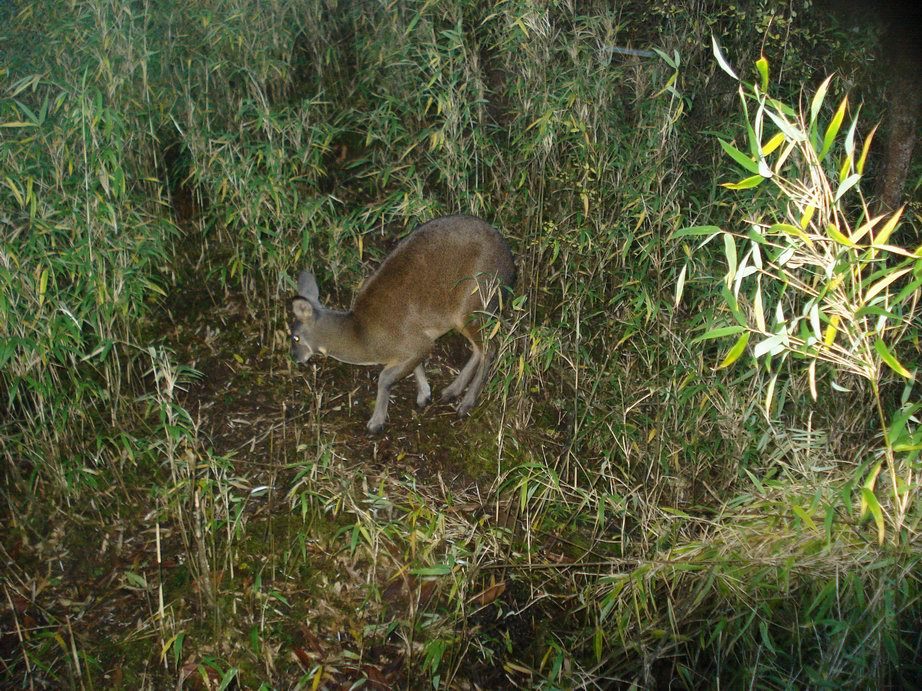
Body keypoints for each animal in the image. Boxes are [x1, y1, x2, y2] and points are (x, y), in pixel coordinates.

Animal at [292, 215, 512, 432]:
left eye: (294, 338)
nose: (295, 358)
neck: (362, 336)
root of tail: (511, 266)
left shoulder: (417, 343)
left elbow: (385, 378)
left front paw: (375, 423)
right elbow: (415, 367)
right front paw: (424, 394)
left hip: (472, 301)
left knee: (490, 347)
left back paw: (466, 403)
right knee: (479, 348)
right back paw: (451, 391)